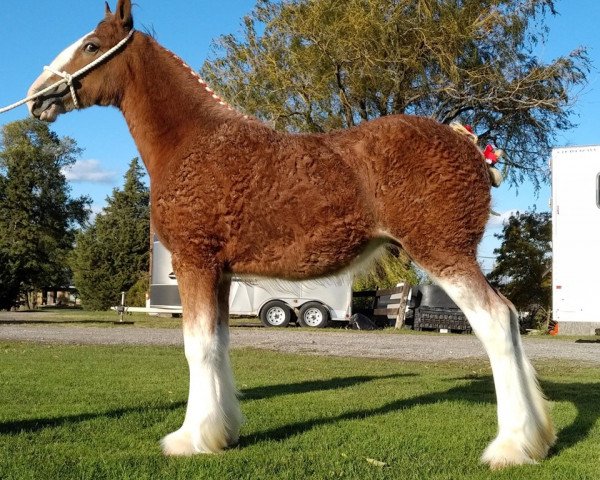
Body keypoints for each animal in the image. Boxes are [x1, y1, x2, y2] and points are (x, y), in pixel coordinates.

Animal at [25, 0, 556, 466]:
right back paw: (537, 438)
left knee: (497, 321)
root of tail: (470, 147)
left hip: (443, 253)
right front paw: (221, 432)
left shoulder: (195, 262)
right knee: (509, 319)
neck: (196, 141)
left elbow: (196, 346)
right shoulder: (221, 274)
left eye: (91, 45)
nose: (36, 97)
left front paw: (189, 439)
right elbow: (218, 344)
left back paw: (511, 447)